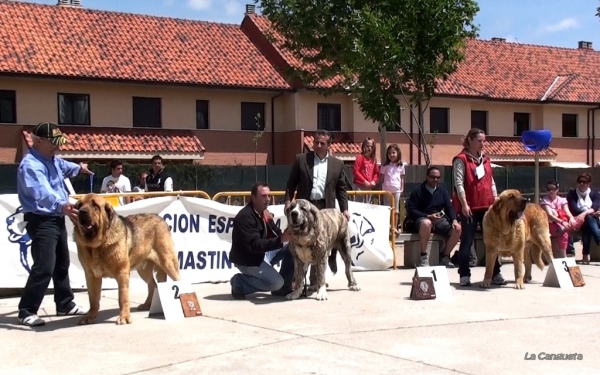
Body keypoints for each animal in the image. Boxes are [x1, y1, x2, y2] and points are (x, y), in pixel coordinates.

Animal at [73, 194, 180, 326]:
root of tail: (160, 218)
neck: (97, 245)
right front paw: (90, 316)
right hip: (143, 270)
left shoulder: (122, 272)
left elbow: (123, 296)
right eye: (80, 205)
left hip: (168, 262)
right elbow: (93, 298)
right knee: (152, 284)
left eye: (95, 205)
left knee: (178, 280)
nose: (81, 212)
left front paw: (124, 317)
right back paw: (147, 304)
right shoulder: (91, 275)